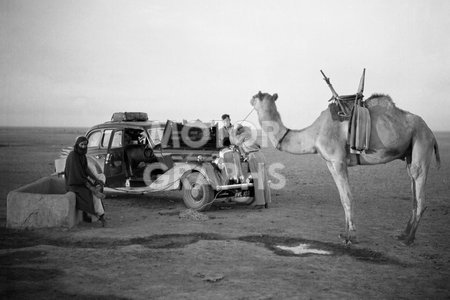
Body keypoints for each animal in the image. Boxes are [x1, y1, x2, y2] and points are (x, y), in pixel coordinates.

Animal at [251, 90, 442, 245]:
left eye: (257, 97)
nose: (250, 98)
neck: (314, 134)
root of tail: (431, 132)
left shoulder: (338, 160)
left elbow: (348, 197)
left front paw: (352, 237)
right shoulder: (330, 163)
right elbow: (343, 198)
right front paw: (344, 234)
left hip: (422, 142)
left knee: (420, 191)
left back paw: (409, 239)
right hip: (410, 152)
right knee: (414, 193)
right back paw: (403, 234)